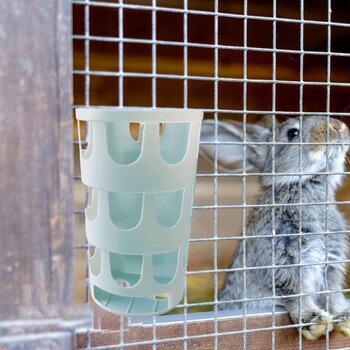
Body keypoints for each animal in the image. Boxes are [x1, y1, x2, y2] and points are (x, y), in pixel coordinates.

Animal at [200, 116, 350, 340]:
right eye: (292, 133)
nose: (336, 126)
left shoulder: (331, 261)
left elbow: (332, 293)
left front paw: (345, 317)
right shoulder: (280, 258)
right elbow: (293, 291)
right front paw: (314, 321)